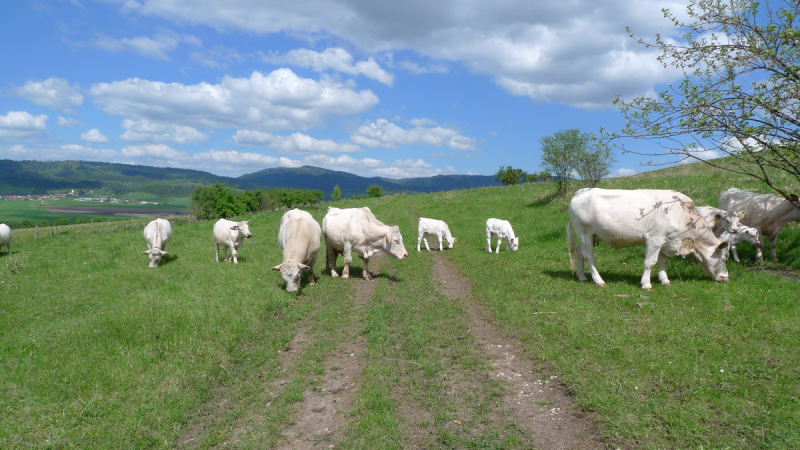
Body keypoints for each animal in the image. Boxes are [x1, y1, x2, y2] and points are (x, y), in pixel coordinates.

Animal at [564, 188, 728, 290]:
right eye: (724, 257)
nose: (726, 277)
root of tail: (581, 191)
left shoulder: (666, 241)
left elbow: (662, 261)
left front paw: (664, 280)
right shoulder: (654, 239)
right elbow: (650, 262)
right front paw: (646, 284)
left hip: (588, 236)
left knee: (580, 253)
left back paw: (581, 277)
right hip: (584, 233)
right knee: (589, 257)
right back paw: (599, 281)